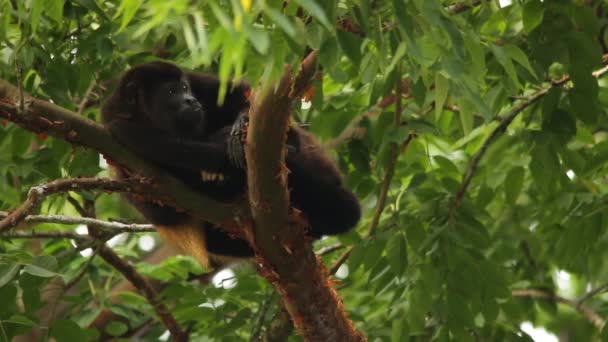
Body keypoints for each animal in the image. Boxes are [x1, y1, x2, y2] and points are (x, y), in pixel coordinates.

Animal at [102, 62, 360, 268]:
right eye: (171, 91)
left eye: (185, 88)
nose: (190, 99)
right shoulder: (115, 142)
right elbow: (160, 207)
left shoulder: (198, 83)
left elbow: (240, 92)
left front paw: (241, 122)